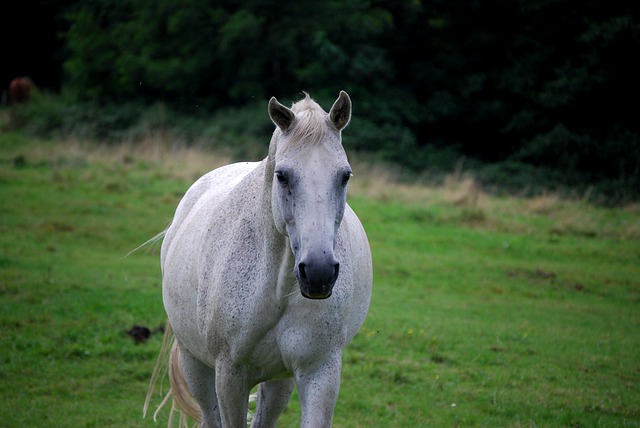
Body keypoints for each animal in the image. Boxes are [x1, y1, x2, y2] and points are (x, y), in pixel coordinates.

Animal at [146, 91, 372, 428]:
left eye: (345, 176)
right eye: (282, 176)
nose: (318, 273)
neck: (277, 286)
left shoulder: (319, 372)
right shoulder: (230, 376)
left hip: (279, 380)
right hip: (194, 362)